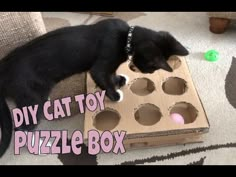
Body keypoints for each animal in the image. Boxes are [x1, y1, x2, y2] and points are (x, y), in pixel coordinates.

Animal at [0, 18, 189, 157]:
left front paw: (119, 79)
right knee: (22, 126)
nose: (146, 71)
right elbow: (102, 76)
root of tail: (4, 70)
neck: (126, 38)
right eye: (151, 67)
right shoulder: (101, 64)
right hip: (33, 96)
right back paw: (39, 146)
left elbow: (111, 74)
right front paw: (115, 95)